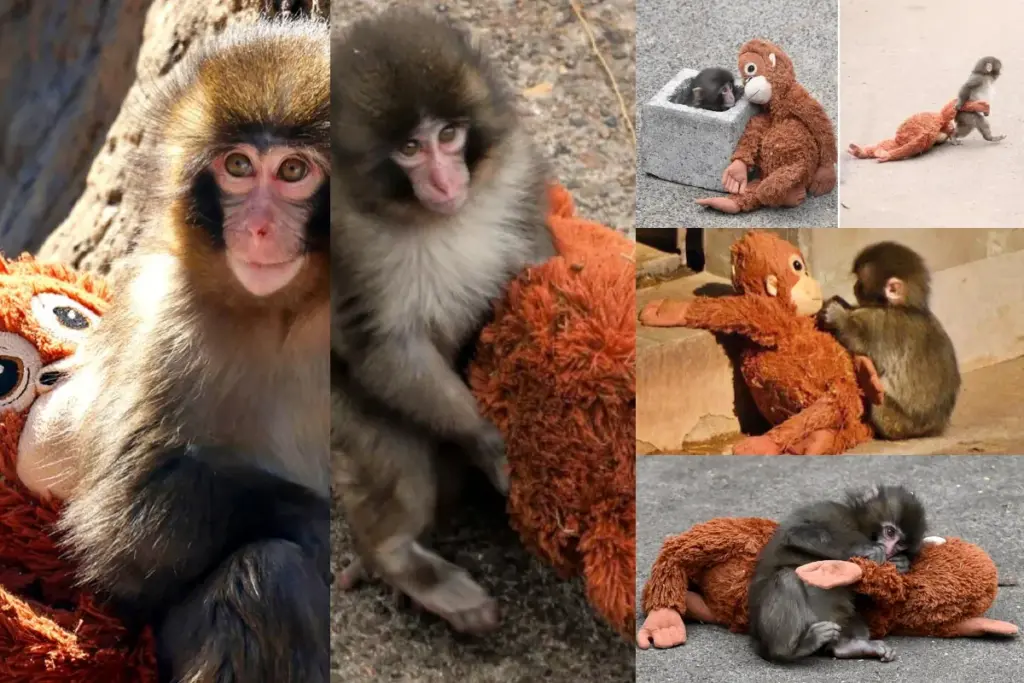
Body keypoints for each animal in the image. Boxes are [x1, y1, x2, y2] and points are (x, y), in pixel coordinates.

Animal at [45, 18, 330, 683]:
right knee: (269, 575)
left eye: (294, 171)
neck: (294, 308)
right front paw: (323, 529)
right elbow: (121, 524)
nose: (257, 228)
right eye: (238, 165)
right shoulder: (162, 317)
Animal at [330, 7, 556, 635]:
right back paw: (397, 558)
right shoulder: (344, 241)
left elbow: (536, 264)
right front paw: (489, 439)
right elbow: (385, 347)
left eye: (449, 136)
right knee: (399, 464)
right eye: (411, 147)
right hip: (344, 409)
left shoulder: (515, 175)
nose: (446, 181)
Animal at [748, 485, 927, 663]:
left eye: (900, 544)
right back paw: (789, 650)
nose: (889, 550)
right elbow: (796, 533)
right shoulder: (829, 511)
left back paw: (847, 647)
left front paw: (901, 563)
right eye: (890, 532)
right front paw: (866, 549)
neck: (857, 525)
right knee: (787, 578)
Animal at [818, 242, 960, 441]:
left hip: (897, 422)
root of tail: (933, 429)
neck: (904, 307)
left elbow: (860, 343)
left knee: (879, 403)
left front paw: (838, 316)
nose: (854, 286)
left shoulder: (880, 323)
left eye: (860, 282)